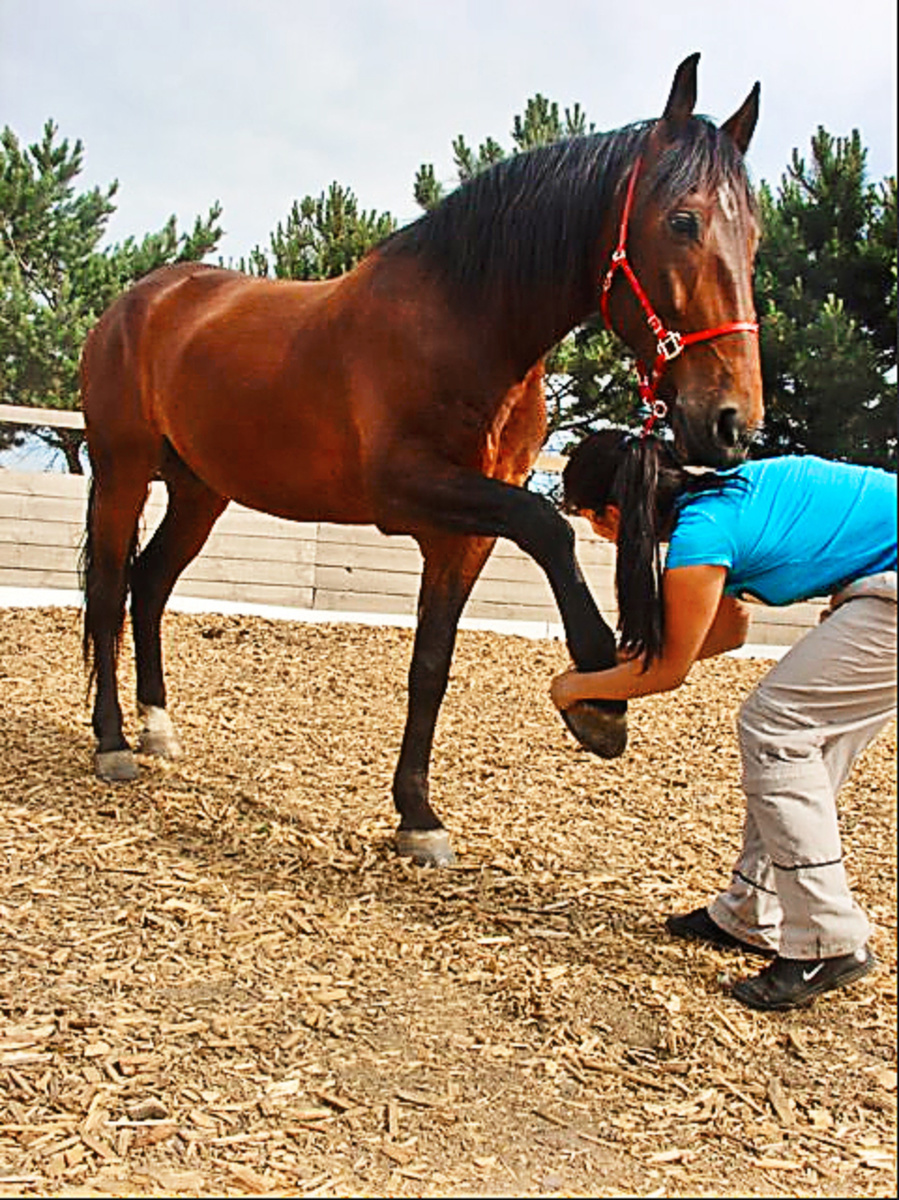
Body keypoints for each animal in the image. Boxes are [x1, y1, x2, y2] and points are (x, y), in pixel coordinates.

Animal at [80, 54, 763, 864]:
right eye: (683, 221)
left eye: (755, 236)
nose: (733, 422)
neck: (464, 324)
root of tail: (143, 298)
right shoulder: (410, 493)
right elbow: (549, 528)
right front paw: (600, 693)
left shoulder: (461, 531)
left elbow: (431, 665)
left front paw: (418, 816)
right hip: (122, 471)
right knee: (108, 590)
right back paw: (112, 742)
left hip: (199, 492)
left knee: (149, 583)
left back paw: (156, 729)